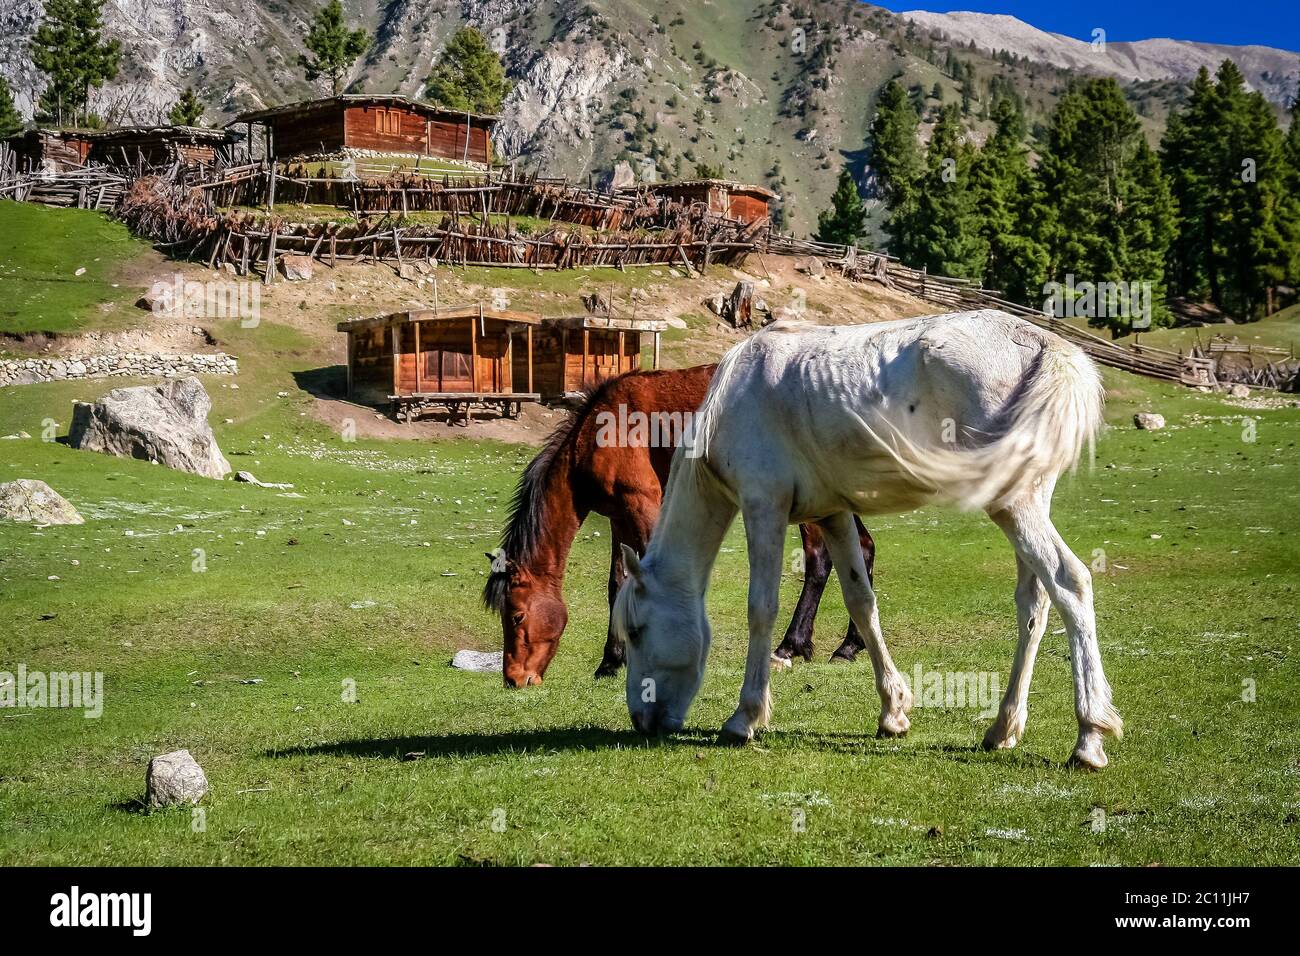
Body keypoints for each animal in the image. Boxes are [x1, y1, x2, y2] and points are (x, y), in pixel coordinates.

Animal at [482, 364, 876, 689]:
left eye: (516, 616)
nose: (513, 678)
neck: (595, 433)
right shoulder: (618, 517)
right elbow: (616, 585)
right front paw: (611, 661)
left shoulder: (643, 505)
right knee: (862, 549)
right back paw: (849, 645)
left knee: (818, 559)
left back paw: (790, 646)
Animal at [613, 310, 1123, 769]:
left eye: (635, 632)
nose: (641, 721)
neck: (735, 397)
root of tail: (1046, 347)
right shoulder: (834, 515)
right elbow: (862, 601)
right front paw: (893, 712)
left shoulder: (764, 508)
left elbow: (761, 609)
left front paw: (745, 717)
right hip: (1022, 507)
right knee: (1033, 603)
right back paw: (1003, 728)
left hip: (1015, 507)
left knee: (1070, 583)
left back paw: (1089, 737)